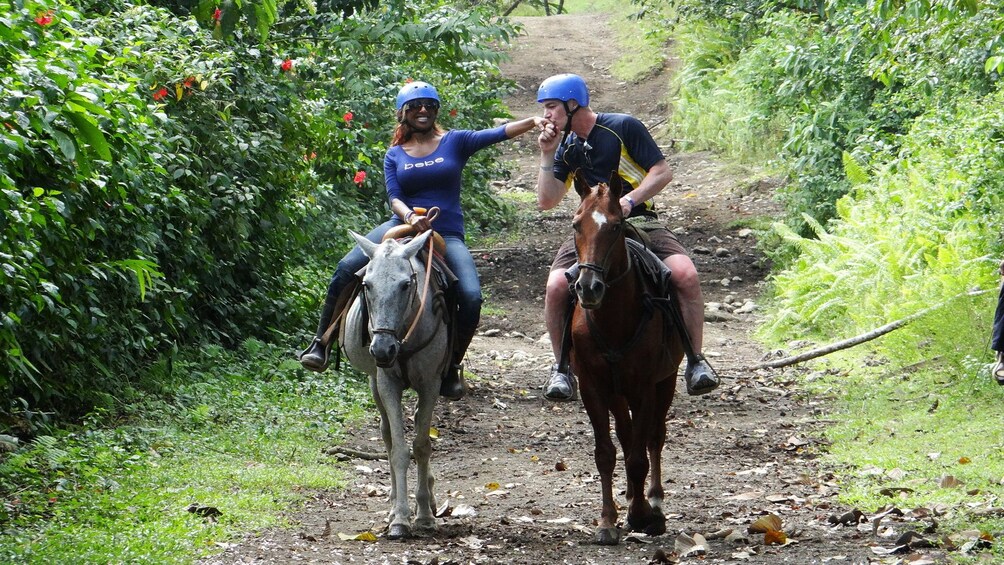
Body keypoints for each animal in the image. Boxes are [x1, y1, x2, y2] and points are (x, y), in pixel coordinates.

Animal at [343, 229, 449, 537]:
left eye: (405, 285)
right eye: (366, 284)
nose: (382, 350)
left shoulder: (430, 384)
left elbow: (422, 445)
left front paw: (424, 515)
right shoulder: (387, 383)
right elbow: (399, 451)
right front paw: (400, 518)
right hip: (374, 382)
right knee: (388, 436)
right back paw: (392, 506)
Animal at [570, 170, 686, 545]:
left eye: (617, 225)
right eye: (576, 224)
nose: (588, 287)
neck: (613, 319)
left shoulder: (645, 386)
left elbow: (639, 456)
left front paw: (640, 515)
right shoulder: (592, 387)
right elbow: (606, 453)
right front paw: (608, 521)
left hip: (665, 381)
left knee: (652, 438)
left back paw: (654, 505)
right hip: (617, 391)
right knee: (627, 433)